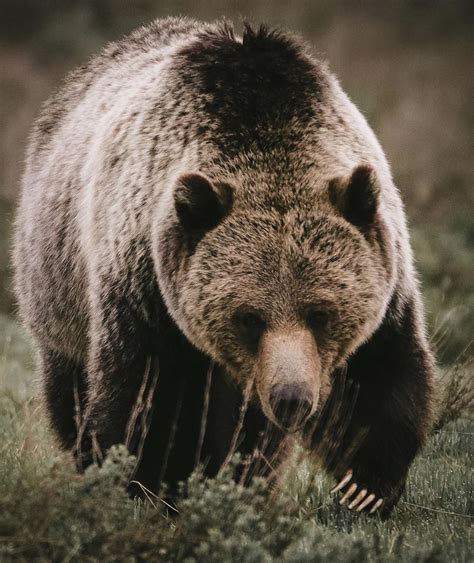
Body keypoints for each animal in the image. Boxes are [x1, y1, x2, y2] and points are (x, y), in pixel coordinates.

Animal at [12, 17, 434, 516]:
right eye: (250, 317)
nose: (291, 398)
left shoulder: (385, 272)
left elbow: (380, 373)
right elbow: (149, 398)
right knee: (70, 390)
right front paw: (150, 483)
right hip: (58, 285)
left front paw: (364, 486)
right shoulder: (147, 287)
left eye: (320, 313)